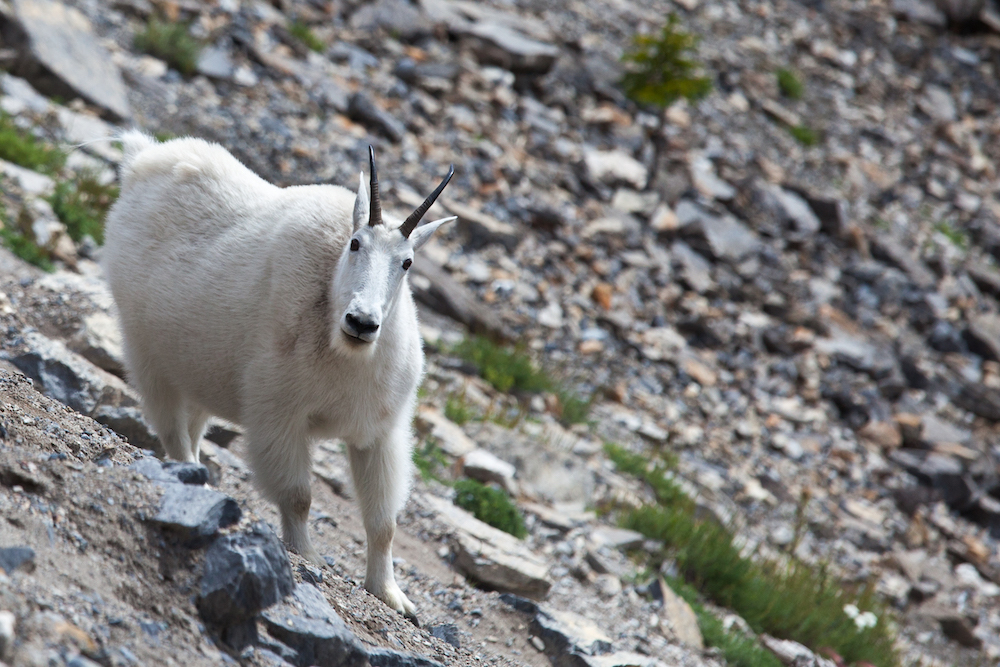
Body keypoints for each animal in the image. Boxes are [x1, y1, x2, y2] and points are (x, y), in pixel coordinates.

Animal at [103, 133, 456, 624]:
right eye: (355, 244)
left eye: (406, 263)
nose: (362, 322)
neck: (344, 352)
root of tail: (142, 157)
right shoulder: (279, 412)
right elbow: (298, 495)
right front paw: (305, 553)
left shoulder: (379, 432)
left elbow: (383, 522)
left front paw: (392, 596)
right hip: (147, 350)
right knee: (172, 429)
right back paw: (192, 480)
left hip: (201, 369)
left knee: (193, 422)